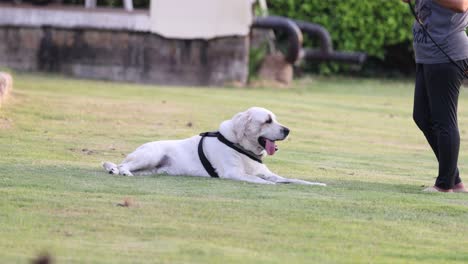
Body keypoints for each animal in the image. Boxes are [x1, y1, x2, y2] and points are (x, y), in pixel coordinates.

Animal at [102, 106, 326, 186]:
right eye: (267, 120)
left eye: (276, 119)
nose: (287, 130)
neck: (240, 145)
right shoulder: (234, 173)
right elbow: (260, 180)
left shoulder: (268, 173)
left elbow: (291, 179)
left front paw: (315, 184)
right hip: (150, 156)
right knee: (123, 165)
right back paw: (122, 172)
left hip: (152, 169)